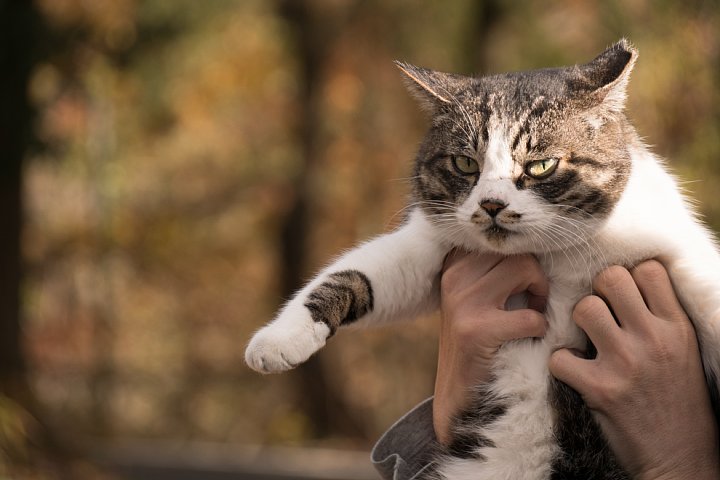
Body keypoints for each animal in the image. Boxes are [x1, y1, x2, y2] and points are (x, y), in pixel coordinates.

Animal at [245, 39, 720, 478]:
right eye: (465, 164)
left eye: (541, 165)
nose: (491, 204)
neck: (553, 258)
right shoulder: (427, 246)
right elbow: (351, 275)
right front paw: (276, 342)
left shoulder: (678, 252)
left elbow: (710, 303)